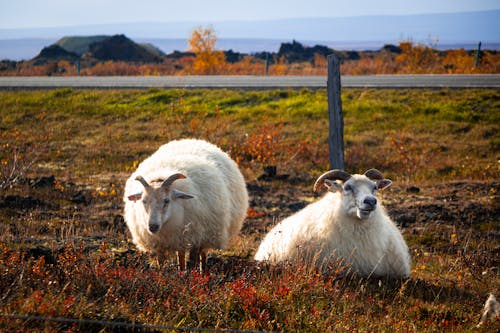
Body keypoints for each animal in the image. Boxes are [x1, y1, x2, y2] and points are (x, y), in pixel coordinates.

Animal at [124, 137, 249, 270]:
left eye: (166, 200)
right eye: (144, 201)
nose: (152, 226)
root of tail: (193, 140)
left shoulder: (194, 237)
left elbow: (191, 261)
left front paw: (188, 274)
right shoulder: (162, 243)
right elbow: (162, 263)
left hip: (205, 234)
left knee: (201, 255)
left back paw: (203, 271)